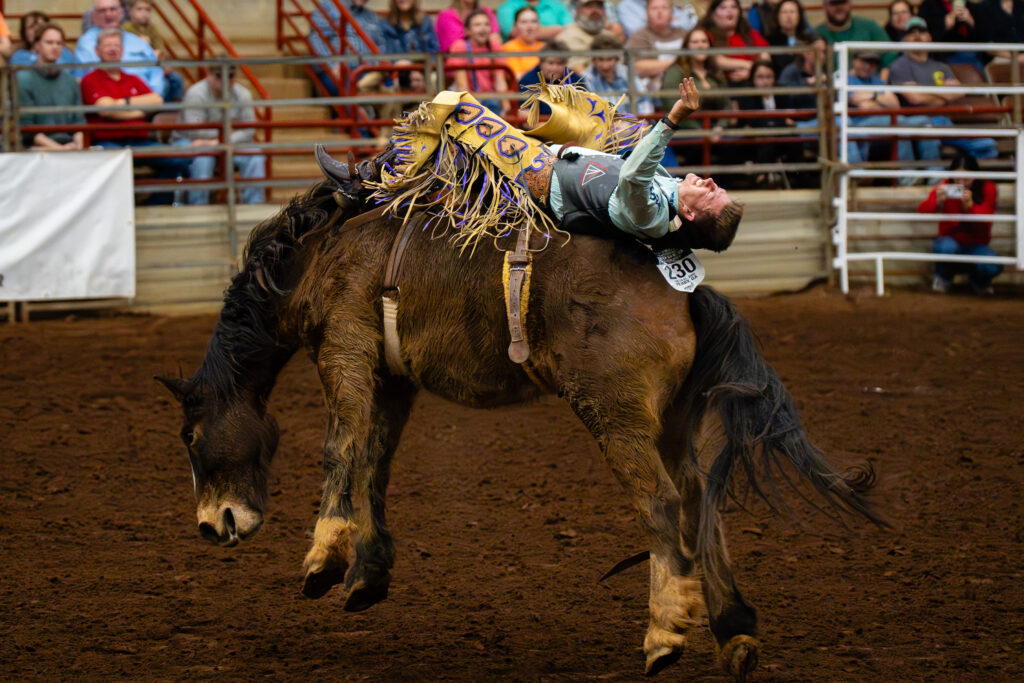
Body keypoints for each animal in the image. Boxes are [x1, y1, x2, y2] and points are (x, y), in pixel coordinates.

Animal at [157, 173, 884, 680]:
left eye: (191, 439)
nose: (212, 524)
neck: (320, 254)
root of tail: (685, 292)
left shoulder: (347, 350)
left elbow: (341, 448)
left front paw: (323, 558)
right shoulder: (395, 380)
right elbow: (374, 465)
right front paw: (367, 573)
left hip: (614, 414)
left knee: (662, 503)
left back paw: (665, 634)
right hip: (673, 421)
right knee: (700, 501)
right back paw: (733, 631)